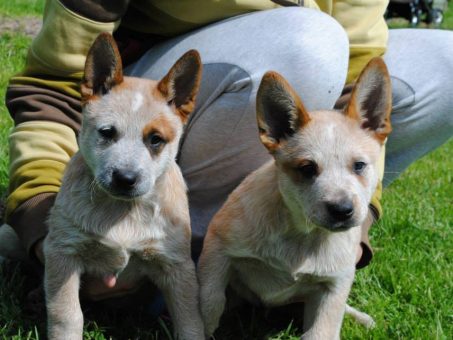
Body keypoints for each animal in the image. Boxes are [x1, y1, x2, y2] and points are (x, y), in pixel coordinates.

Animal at [42, 33, 205, 340]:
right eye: (107, 132)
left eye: (156, 139)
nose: (125, 178)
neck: (123, 212)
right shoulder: (62, 252)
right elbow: (66, 315)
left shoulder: (177, 265)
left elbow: (190, 320)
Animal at [199, 58, 392, 338]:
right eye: (307, 169)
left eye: (359, 166)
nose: (342, 209)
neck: (303, 235)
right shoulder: (217, 248)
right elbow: (210, 300)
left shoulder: (334, 287)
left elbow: (322, 330)